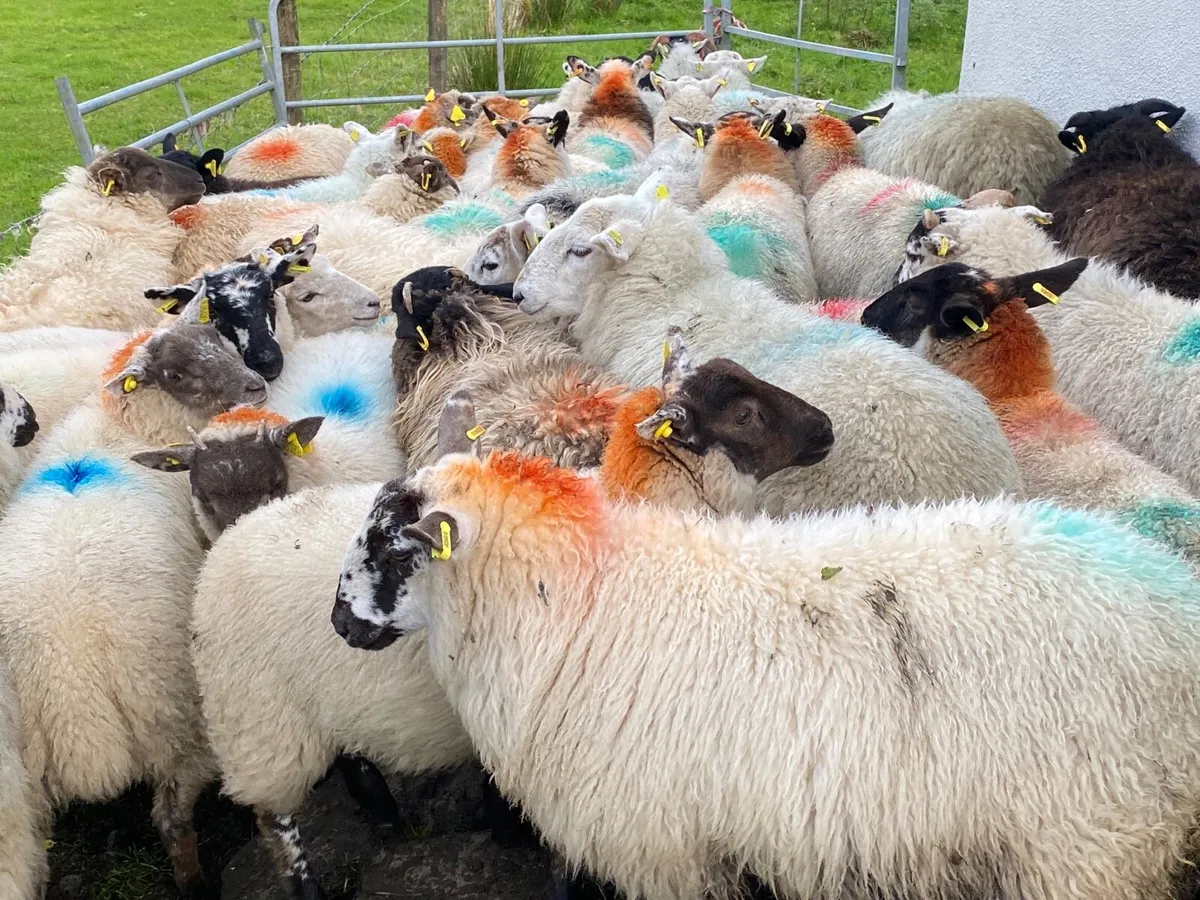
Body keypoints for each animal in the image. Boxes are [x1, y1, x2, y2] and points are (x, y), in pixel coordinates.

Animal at [0, 323, 268, 899]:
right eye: (177, 374)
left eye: (219, 337)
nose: (256, 386)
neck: (126, 426)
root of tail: (70, 686)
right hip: (170, 716)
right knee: (171, 816)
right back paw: (193, 883)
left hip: (26, 774)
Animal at [333, 402, 1200, 900]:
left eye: (391, 545)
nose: (339, 623)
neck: (572, 601)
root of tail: (1173, 600)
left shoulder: (661, 848)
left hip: (1091, 841)